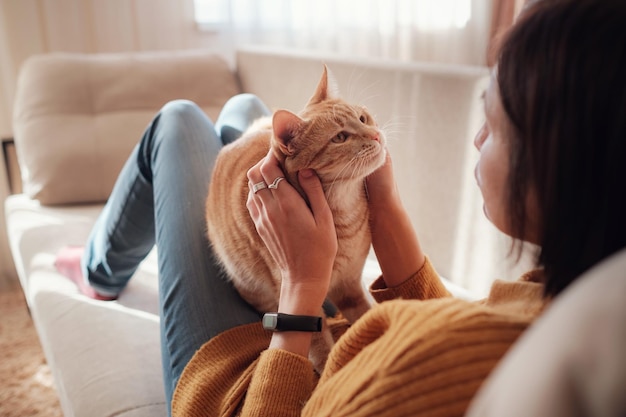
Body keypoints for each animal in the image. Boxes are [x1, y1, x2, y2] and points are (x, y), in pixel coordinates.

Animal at [205, 66, 386, 370]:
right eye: (340, 138)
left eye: (363, 118)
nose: (376, 136)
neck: (344, 213)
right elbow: (319, 342)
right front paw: (324, 369)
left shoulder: (351, 285)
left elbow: (367, 314)